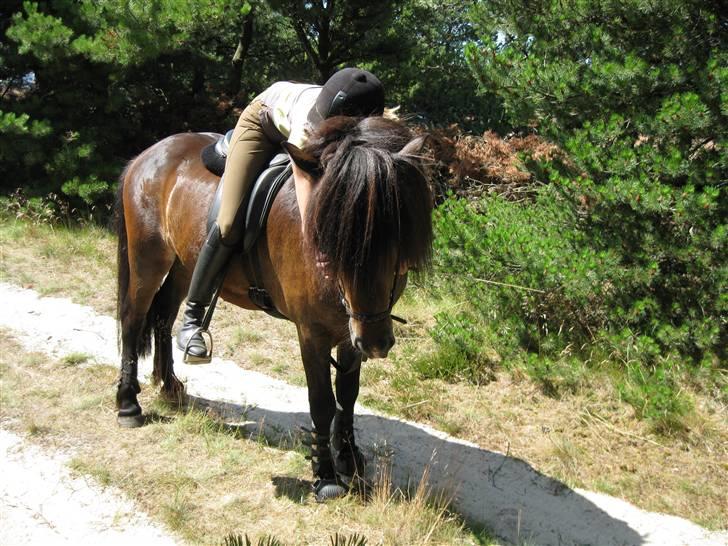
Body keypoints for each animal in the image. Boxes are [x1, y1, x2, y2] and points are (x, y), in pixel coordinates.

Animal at [114, 116, 432, 498]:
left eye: (399, 237)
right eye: (339, 241)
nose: (376, 343)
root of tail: (146, 155)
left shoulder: (348, 333)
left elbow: (348, 396)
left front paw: (349, 460)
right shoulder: (312, 334)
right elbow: (322, 402)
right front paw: (325, 475)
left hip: (182, 263)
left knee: (163, 317)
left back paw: (170, 386)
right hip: (148, 258)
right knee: (132, 320)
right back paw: (128, 404)